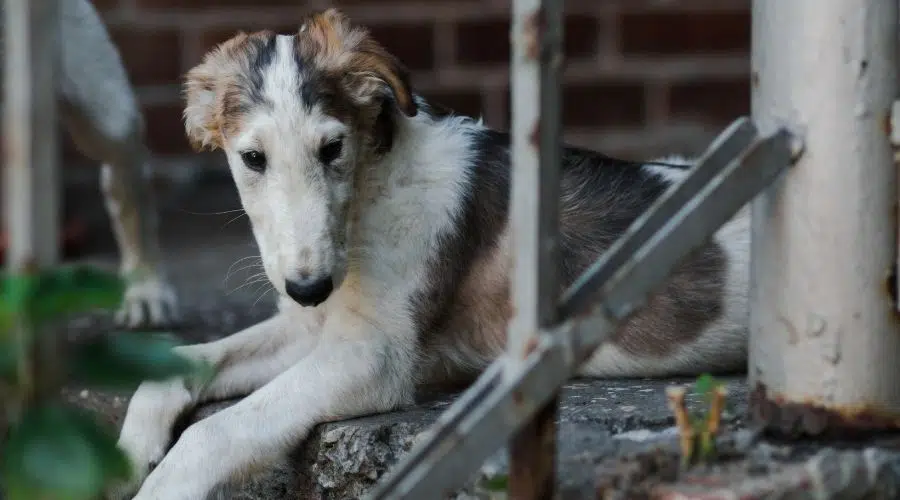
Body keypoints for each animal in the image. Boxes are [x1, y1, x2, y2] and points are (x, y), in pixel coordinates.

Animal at [109, 8, 748, 500]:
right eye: (252, 159)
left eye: (333, 147)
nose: (309, 288)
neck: (371, 193)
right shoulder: (313, 328)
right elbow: (177, 365)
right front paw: (128, 456)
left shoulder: (372, 356)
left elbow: (214, 434)